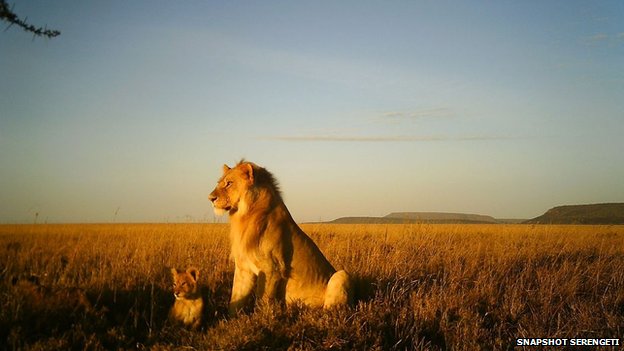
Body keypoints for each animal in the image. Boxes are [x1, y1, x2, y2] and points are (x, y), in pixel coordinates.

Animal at [208, 160, 352, 316]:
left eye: (229, 183)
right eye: (220, 183)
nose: (210, 198)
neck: (245, 216)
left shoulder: (272, 269)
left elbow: (263, 300)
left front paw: (261, 319)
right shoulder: (243, 268)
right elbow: (236, 299)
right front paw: (232, 320)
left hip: (342, 274)